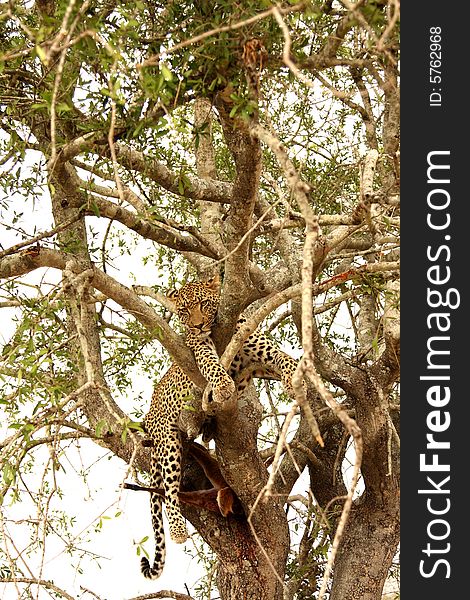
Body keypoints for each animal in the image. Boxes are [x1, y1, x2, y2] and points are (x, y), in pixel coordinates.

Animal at [140, 274, 302, 580]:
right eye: (183, 311)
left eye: (203, 303)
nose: (196, 325)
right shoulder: (201, 347)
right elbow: (212, 364)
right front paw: (224, 384)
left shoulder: (257, 353)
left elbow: (282, 357)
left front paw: (293, 376)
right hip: (168, 441)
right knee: (169, 490)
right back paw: (178, 530)